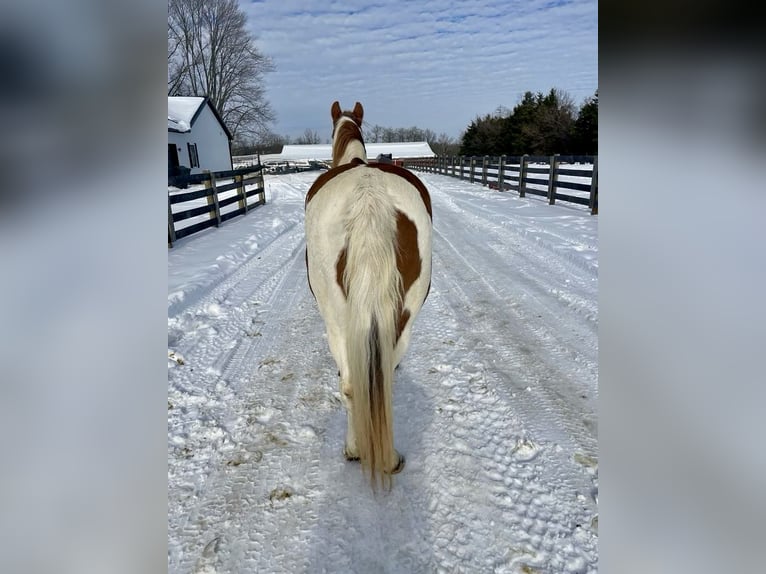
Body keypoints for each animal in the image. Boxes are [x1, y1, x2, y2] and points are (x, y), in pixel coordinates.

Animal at [308, 101, 438, 488]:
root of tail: (369, 194)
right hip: (404, 319)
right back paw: (388, 457)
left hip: (336, 323)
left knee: (352, 384)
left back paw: (355, 449)